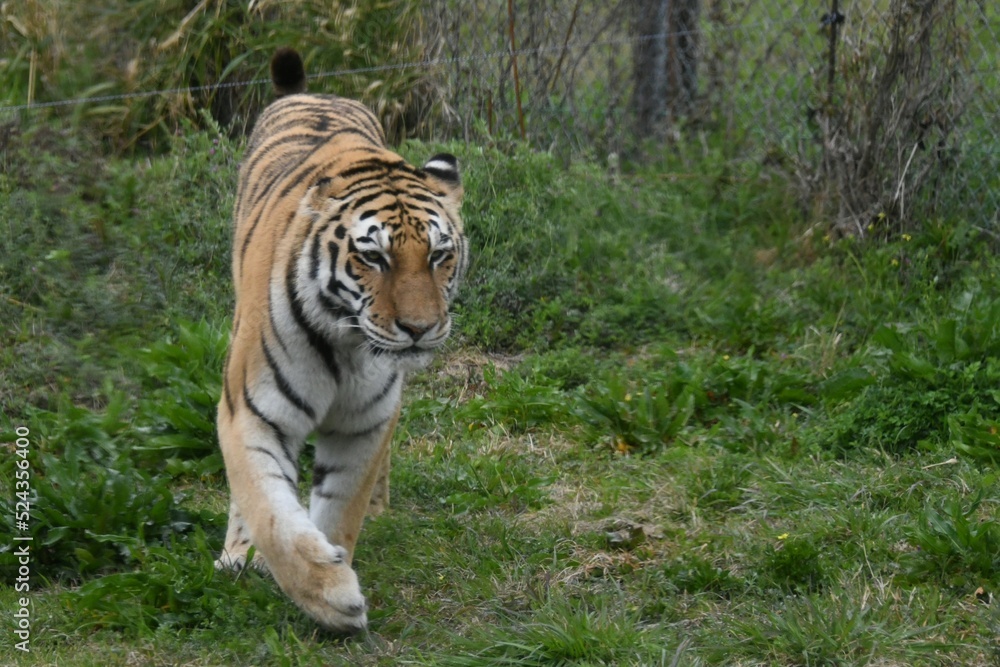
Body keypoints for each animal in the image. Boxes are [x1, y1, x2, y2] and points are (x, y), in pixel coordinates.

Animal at [214, 47, 467, 634]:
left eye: (439, 255)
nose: (420, 328)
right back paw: (237, 554)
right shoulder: (252, 412)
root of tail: (314, 93)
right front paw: (331, 596)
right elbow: (270, 510)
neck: (346, 345)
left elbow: (339, 508)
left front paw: (333, 579)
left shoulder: (366, 423)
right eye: (374, 257)